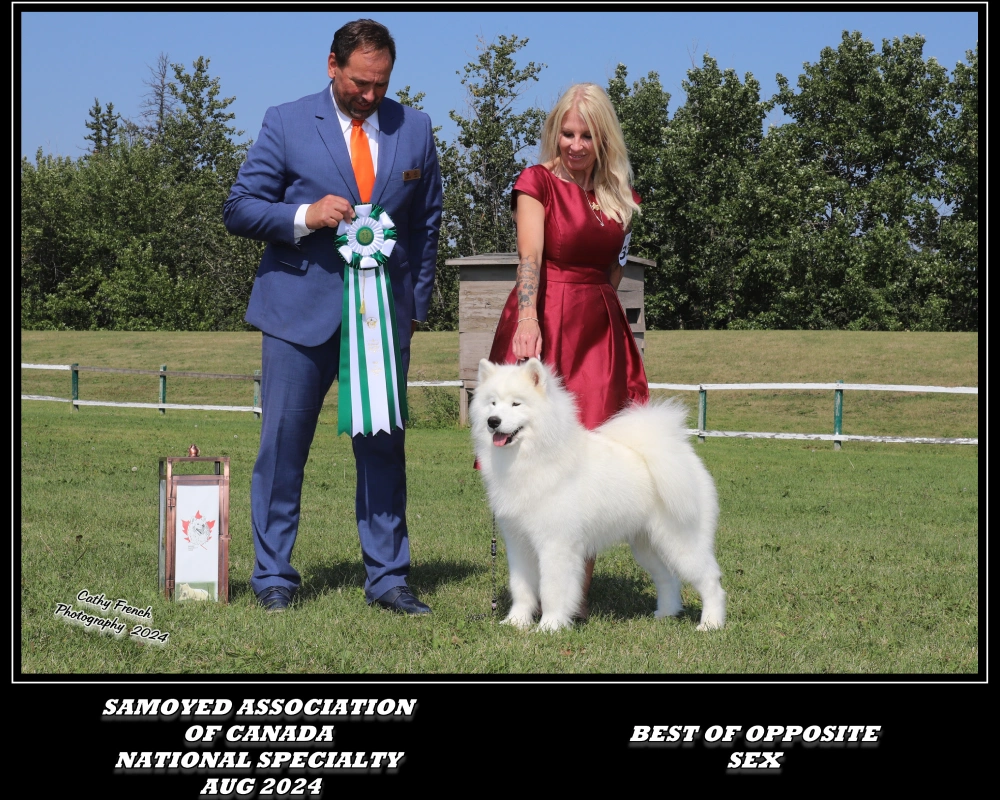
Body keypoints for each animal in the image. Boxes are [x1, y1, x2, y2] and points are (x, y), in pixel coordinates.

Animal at [470, 360, 728, 636]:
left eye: (516, 404)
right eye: (492, 403)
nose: (493, 421)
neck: (533, 457)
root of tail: (682, 453)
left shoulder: (556, 544)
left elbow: (552, 590)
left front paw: (550, 626)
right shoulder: (518, 542)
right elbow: (521, 587)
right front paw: (516, 622)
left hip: (683, 542)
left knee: (711, 581)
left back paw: (710, 623)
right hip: (647, 545)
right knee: (668, 578)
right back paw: (666, 614)